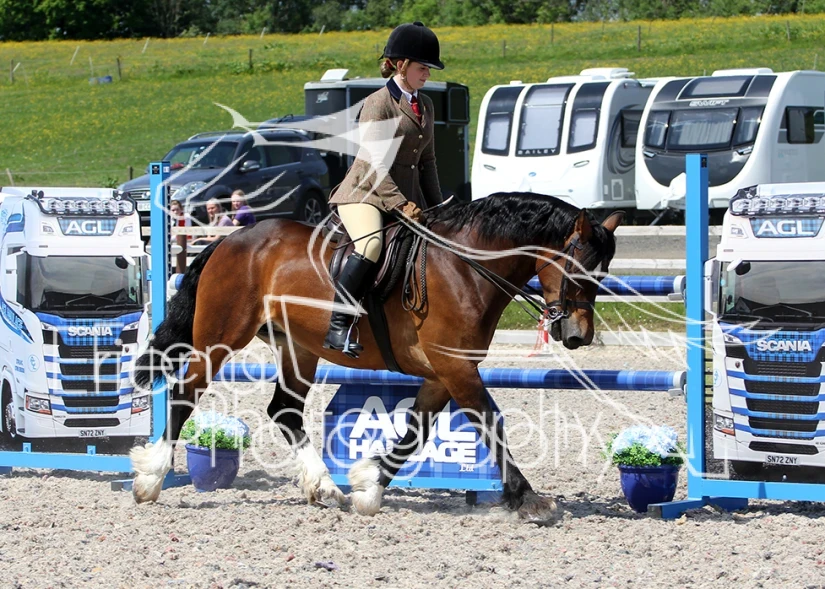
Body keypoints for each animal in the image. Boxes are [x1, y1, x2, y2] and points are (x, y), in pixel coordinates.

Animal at [131, 192, 623, 523]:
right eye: (578, 269)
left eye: (604, 273)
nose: (578, 335)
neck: (466, 268)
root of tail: (230, 240)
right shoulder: (455, 367)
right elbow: (490, 424)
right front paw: (530, 499)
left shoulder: (443, 373)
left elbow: (416, 432)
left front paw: (368, 485)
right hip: (220, 338)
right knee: (185, 394)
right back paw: (150, 478)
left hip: (298, 348)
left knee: (285, 410)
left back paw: (326, 487)